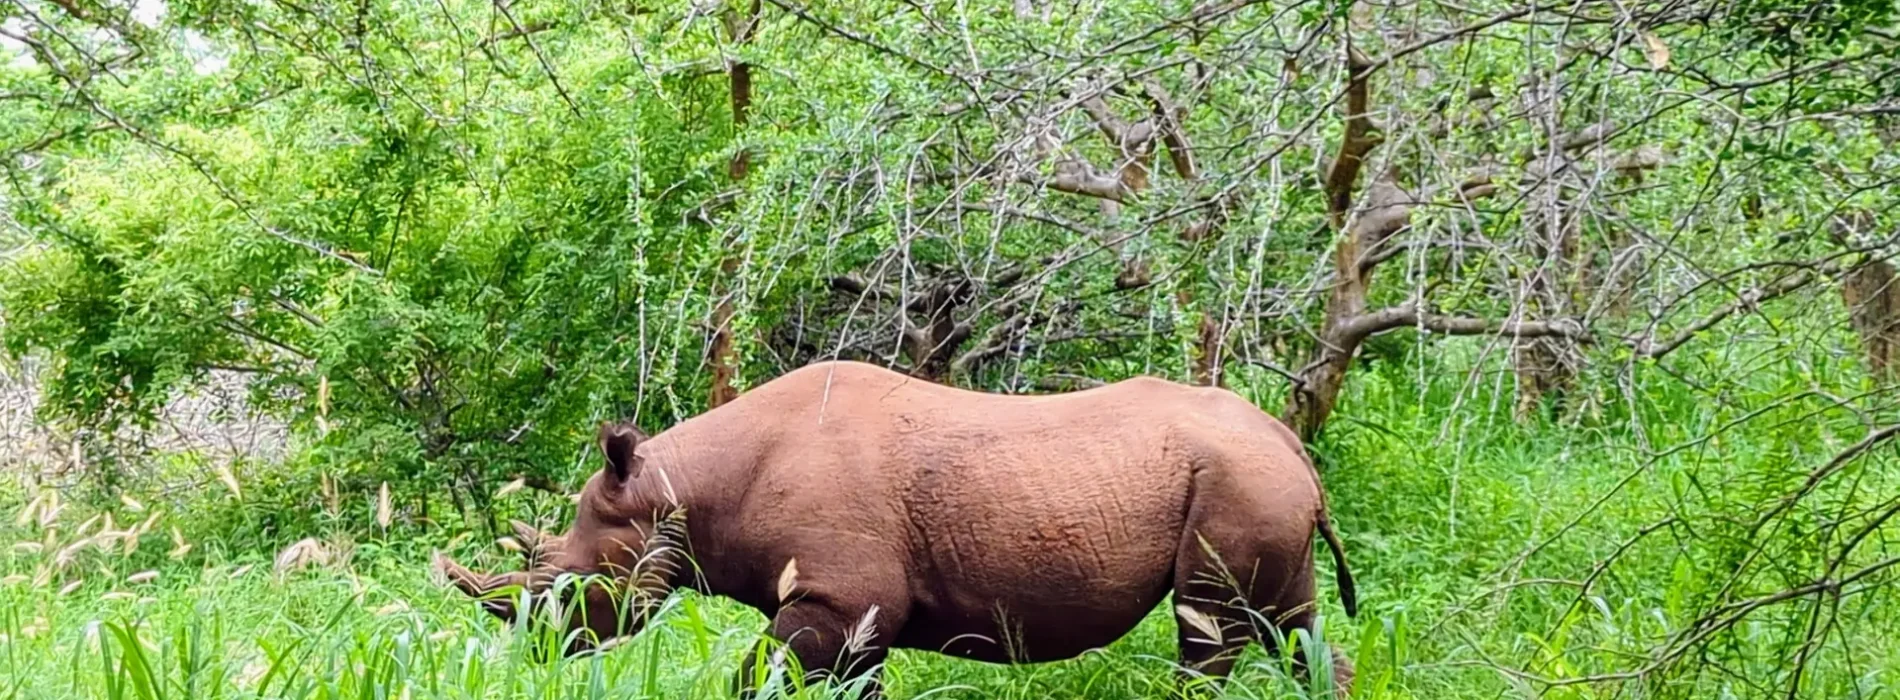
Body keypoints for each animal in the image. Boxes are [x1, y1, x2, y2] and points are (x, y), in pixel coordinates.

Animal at [436, 360, 1359, 697]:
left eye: (566, 588)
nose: (537, 655)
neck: (677, 491)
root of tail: (1288, 442)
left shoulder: (838, 597)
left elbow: (750, 679)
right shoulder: (854, 615)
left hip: (1239, 481)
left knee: (1212, 630)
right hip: (1260, 481)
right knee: (1292, 623)